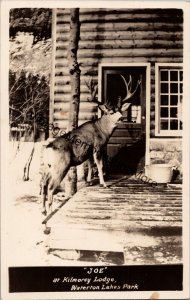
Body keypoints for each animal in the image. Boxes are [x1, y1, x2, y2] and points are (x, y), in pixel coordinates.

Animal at [40, 75, 140, 216]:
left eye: (120, 110)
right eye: (110, 112)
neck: (102, 130)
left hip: (47, 167)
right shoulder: (98, 146)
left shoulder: (89, 151)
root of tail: (48, 149)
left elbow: (90, 163)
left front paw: (89, 181)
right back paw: (50, 211)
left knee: (43, 184)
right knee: (50, 187)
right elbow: (99, 164)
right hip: (61, 166)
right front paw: (103, 183)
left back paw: (43, 210)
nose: (121, 118)